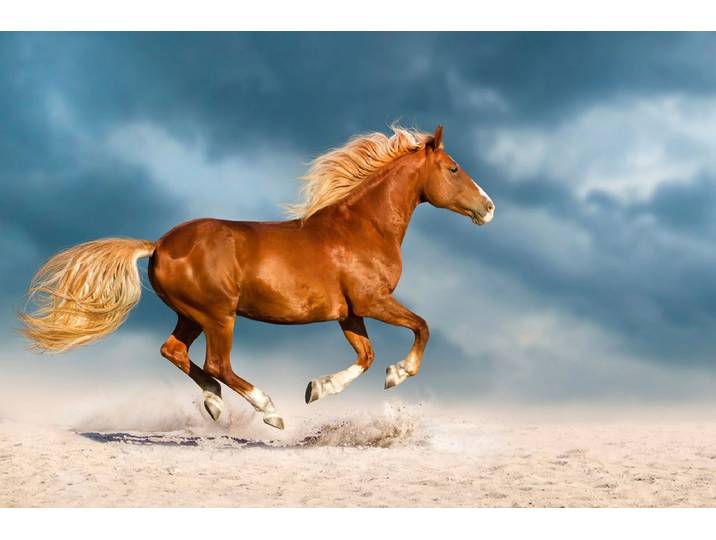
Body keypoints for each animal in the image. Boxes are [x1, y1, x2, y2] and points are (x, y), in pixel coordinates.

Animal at [20, 124, 495, 430]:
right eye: (453, 168)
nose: (488, 208)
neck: (362, 227)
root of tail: (158, 245)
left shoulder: (349, 312)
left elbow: (366, 356)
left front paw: (317, 388)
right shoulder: (371, 301)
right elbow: (421, 327)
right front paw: (398, 374)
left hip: (191, 315)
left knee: (174, 351)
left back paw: (214, 403)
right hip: (218, 315)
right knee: (218, 363)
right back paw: (269, 410)